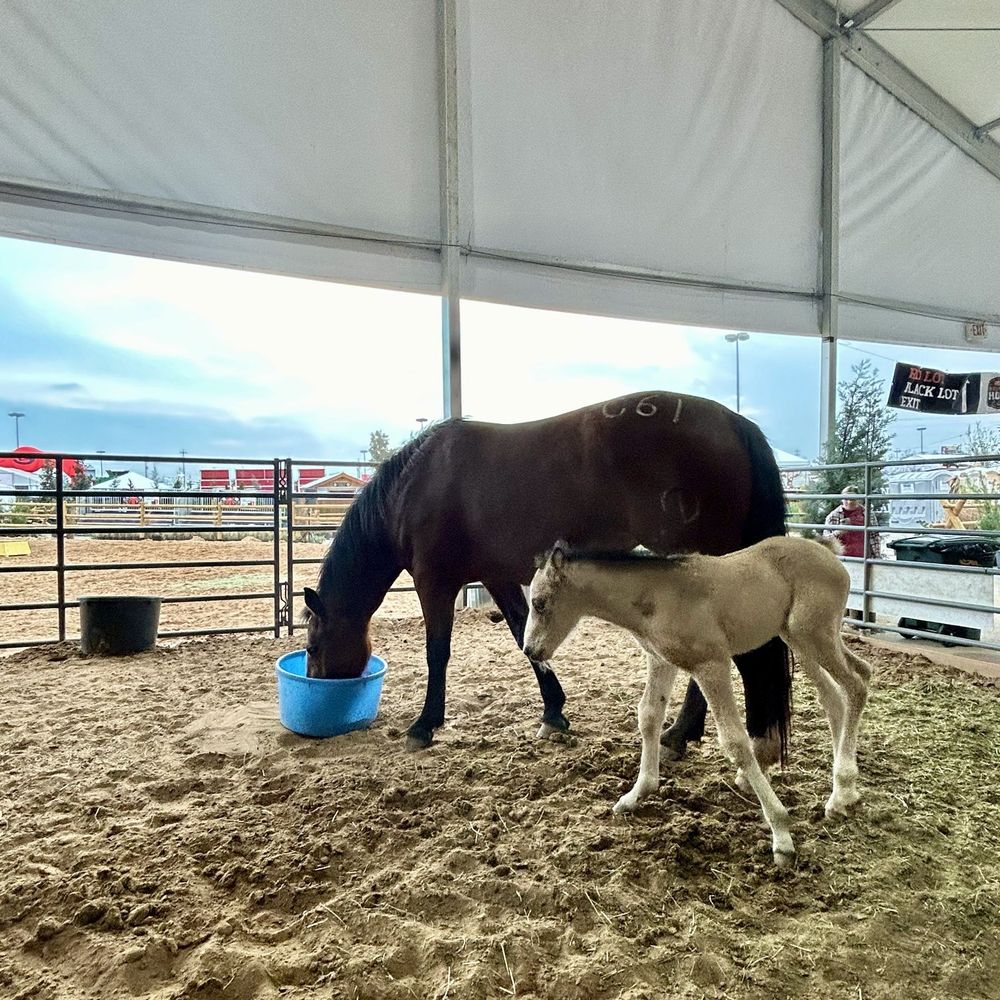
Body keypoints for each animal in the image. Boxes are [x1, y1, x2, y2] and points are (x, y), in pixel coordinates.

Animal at [302, 390, 792, 755]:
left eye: (312, 644)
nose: (317, 683)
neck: (413, 489)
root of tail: (735, 422)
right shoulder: (497, 577)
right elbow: (524, 636)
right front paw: (554, 713)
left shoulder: (434, 582)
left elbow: (437, 653)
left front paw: (423, 726)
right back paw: (682, 733)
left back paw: (677, 734)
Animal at [522, 536, 872, 867]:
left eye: (539, 603)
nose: (530, 650)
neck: (655, 596)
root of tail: (828, 551)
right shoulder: (661, 661)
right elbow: (648, 716)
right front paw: (636, 795)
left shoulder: (711, 664)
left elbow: (735, 742)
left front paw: (781, 834)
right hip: (796, 638)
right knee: (836, 694)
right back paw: (843, 795)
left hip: (812, 634)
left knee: (856, 683)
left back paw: (842, 786)